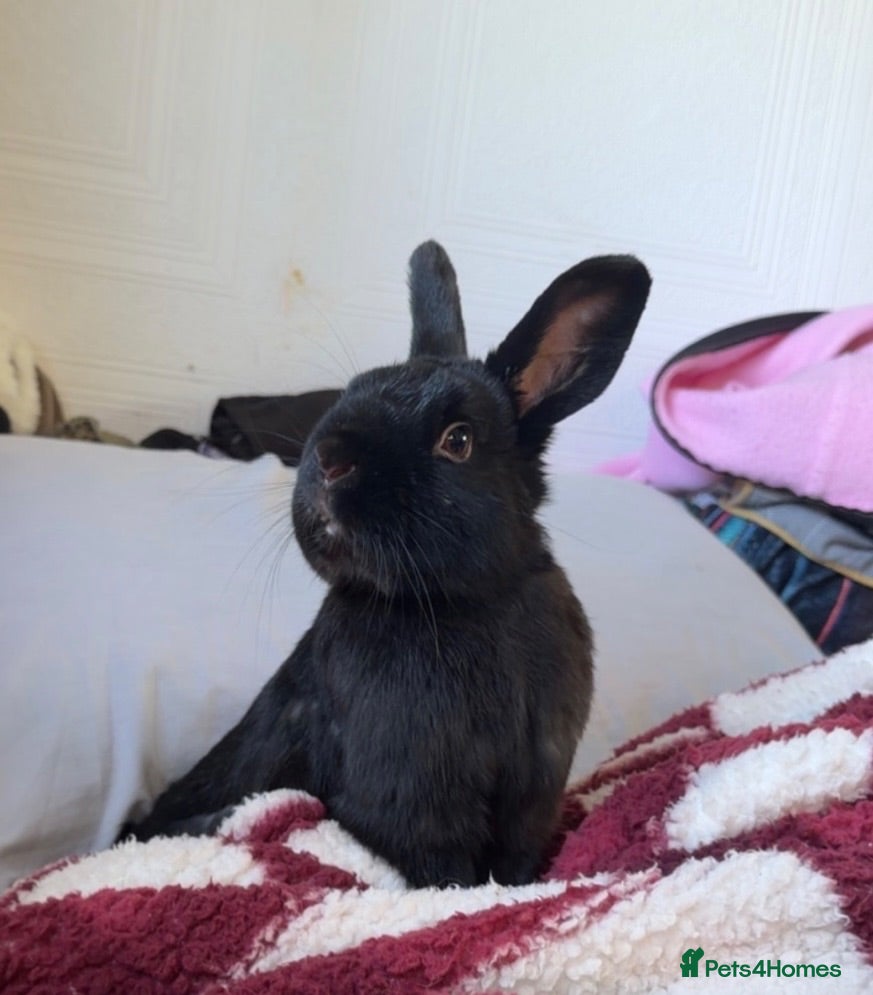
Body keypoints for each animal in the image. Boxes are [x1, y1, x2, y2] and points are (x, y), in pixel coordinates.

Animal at [123, 242, 651, 887]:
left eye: (458, 440)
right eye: (350, 392)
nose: (329, 460)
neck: (461, 602)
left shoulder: (532, 796)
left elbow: (512, 868)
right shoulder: (412, 809)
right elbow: (445, 878)